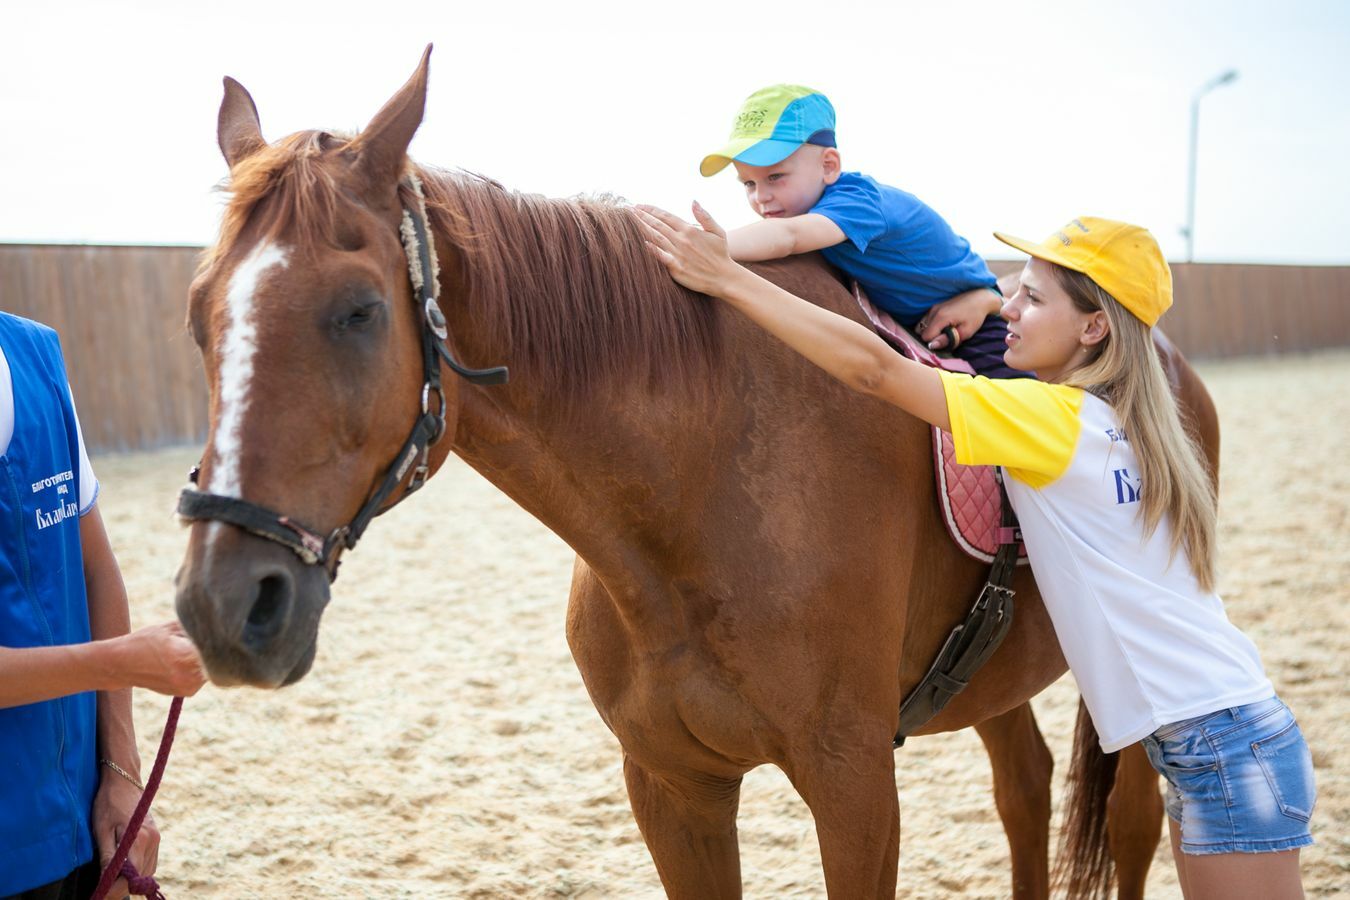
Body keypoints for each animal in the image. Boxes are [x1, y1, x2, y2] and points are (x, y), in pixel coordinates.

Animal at [168, 50, 1215, 900]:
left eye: (359, 311)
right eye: (197, 314)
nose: (227, 604)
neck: (696, 498)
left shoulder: (854, 785)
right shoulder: (673, 786)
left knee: (1131, 822)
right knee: (1024, 788)